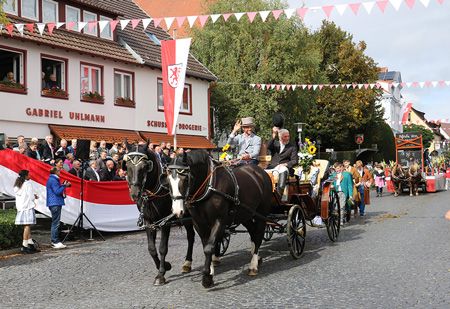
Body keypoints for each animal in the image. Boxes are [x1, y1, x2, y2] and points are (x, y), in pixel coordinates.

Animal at [123, 143, 195, 286]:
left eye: (145, 167)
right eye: (127, 166)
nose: (134, 194)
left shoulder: (165, 222)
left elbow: (162, 248)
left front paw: (161, 274)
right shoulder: (149, 221)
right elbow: (151, 249)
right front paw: (165, 266)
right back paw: (187, 264)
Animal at [168, 150, 270, 288]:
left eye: (185, 178)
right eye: (168, 180)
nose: (177, 211)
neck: (208, 187)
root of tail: (260, 172)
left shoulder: (219, 220)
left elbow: (209, 247)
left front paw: (206, 277)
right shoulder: (199, 223)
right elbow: (206, 246)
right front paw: (210, 271)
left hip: (261, 213)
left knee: (258, 234)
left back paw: (253, 265)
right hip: (245, 214)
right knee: (253, 232)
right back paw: (257, 257)